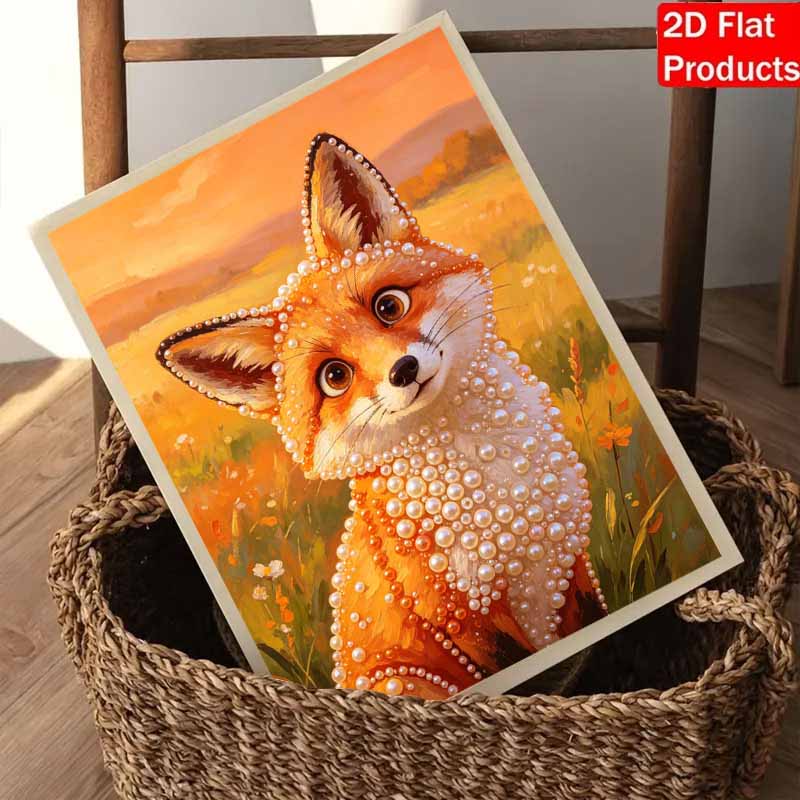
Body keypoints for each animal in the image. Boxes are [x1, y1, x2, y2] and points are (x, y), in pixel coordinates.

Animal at [157, 132, 607, 699]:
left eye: (388, 306)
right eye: (334, 377)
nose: (404, 370)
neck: (495, 482)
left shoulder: (571, 567)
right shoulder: (464, 624)